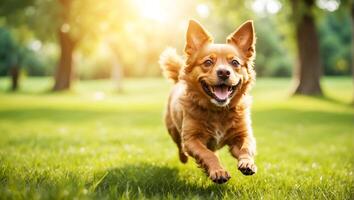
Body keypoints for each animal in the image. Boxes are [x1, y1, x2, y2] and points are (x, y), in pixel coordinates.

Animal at [159, 19, 256, 184]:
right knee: (180, 146)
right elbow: (206, 154)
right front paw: (218, 171)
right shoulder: (191, 140)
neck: (218, 111)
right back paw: (185, 158)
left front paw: (247, 163)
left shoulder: (243, 135)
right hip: (173, 131)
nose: (224, 72)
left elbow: (246, 148)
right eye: (208, 62)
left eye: (235, 63)